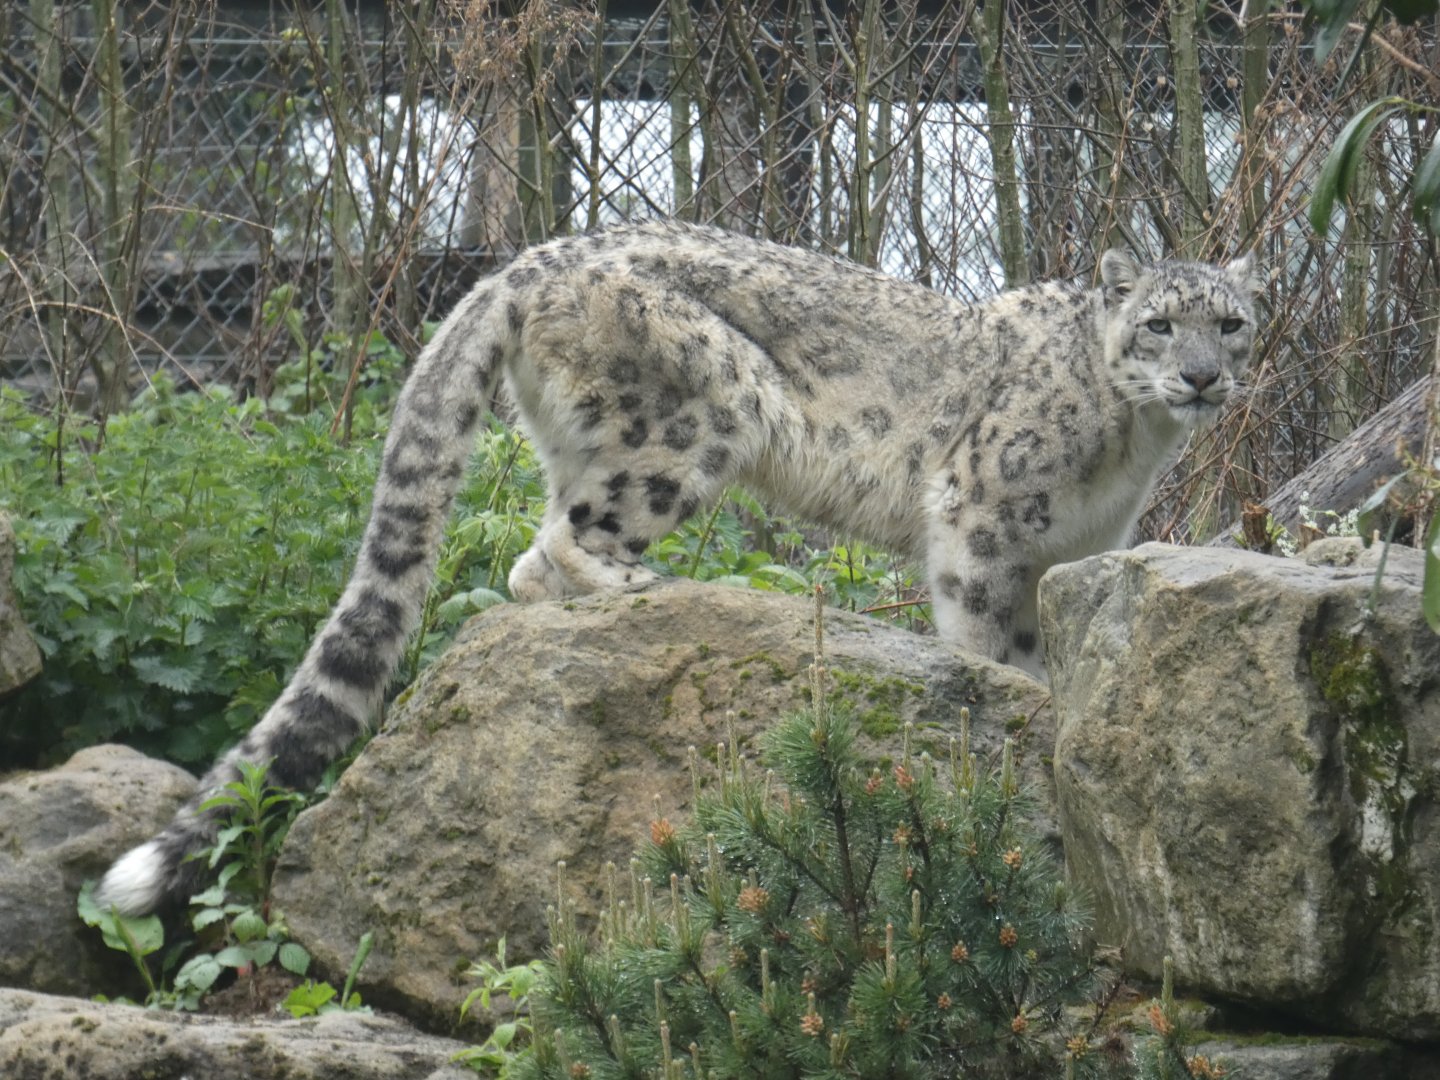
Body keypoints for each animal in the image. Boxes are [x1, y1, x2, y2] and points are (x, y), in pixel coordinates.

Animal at [96, 219, 1262, 915]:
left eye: (1233, 322)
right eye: (1159, 322)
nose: (1203, 377)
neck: (1131, 448)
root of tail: (529, 259)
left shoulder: (1076, 549)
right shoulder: (982, 519)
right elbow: (984, 637)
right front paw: (1010, 698)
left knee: (530, 552)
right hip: (697, 416)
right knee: (555, 545)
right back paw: (635, 590)